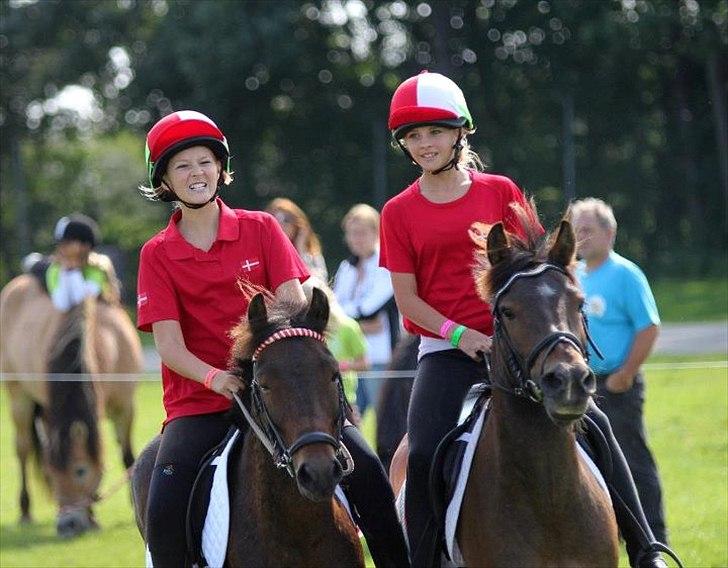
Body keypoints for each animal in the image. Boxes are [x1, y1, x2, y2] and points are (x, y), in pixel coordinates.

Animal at [0, 272, 142, 536]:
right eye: (51, 473)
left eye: (80, 471)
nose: (68, 526)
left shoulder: (125, 407)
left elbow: (127, 453)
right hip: (18, 397)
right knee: (23, 449)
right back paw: (25, 511)